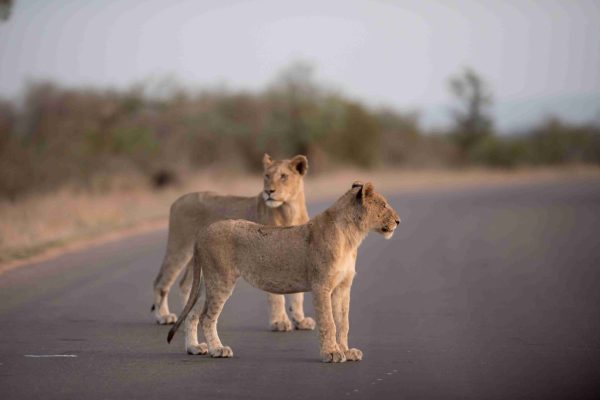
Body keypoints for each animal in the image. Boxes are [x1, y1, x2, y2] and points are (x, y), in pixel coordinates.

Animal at [152, 153, 316, 332]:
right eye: (267, 176)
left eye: (284, 176)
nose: (268, 191)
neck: (290, 210)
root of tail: (179, 200)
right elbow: (276, 296)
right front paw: (279, 322)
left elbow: (298, 295)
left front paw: (300, 321)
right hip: (180, 247)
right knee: (161, 281)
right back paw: (163, 316)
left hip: (197, 256)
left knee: (185, 283)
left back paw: (186, 318)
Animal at [166, 181, 400, 362]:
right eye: (384, 205)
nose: (398, 221)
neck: (352, 237)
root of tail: (203, 232)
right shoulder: (321, 286)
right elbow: (329, 322)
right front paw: (332, 354)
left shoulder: (342, 287)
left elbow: (343, 322)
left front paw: (347, 351)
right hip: (221, 279)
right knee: (207, 318)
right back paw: (218, 349)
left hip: (209, 282)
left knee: (193, 315)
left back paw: (195, 348)